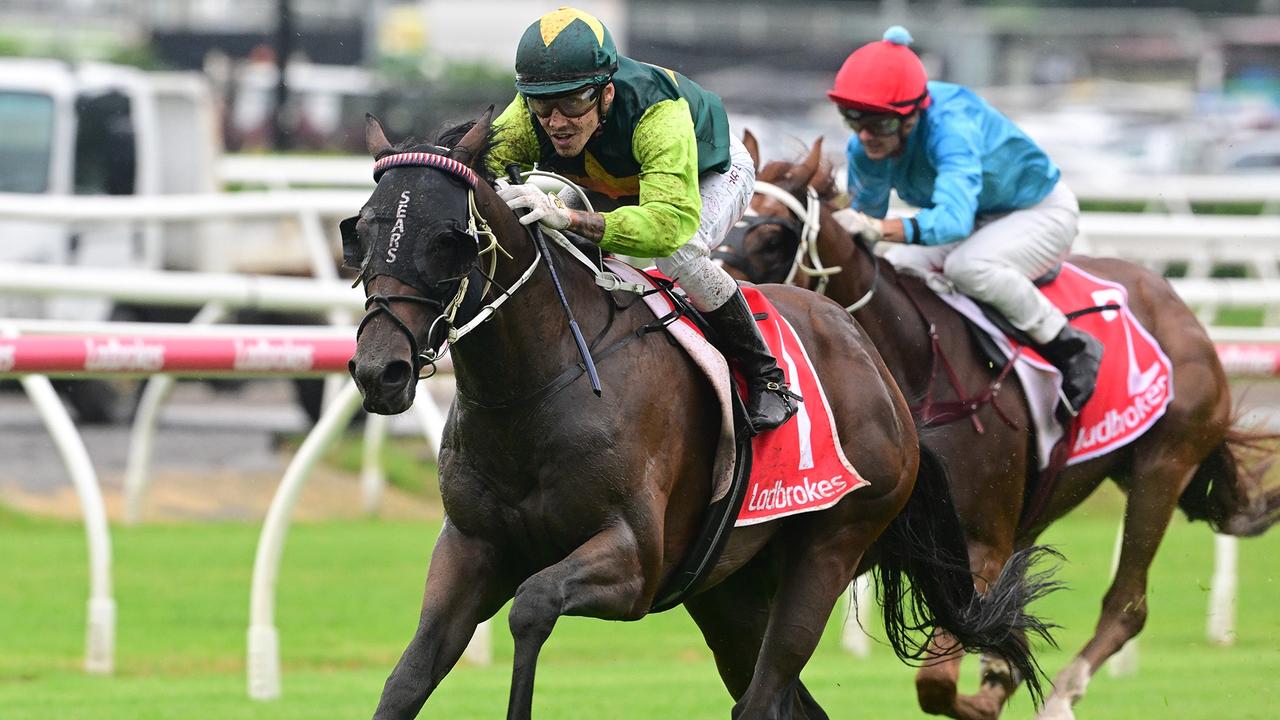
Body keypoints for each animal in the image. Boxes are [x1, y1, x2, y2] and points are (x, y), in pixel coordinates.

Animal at [721, 134, 1280, 717]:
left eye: (772, 237)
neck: (916, 366)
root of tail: (1172, 298)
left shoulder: (976, 542)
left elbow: (937, 681)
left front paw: (991, 690)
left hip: (1163, 466)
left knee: (1127, 603)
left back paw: (1060, 695)